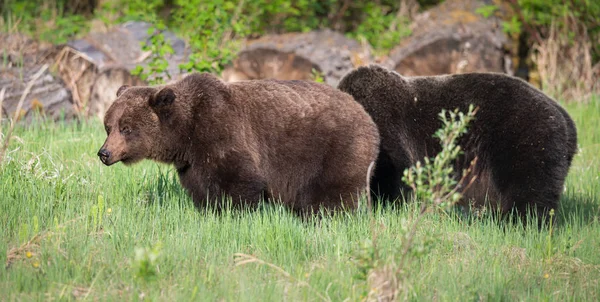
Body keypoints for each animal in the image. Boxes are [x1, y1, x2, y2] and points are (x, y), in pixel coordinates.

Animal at [98, 71, 380, 214]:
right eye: (108, 126)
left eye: (126, 128)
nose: (104, 153)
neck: (186, 134)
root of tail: (366, 115)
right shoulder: (192, 163)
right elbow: (202, 189)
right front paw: (209, 211)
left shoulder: (223, 131)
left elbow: (239, 181)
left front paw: (234, 213)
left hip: (335, 147)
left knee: (335, 192)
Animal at [338, 65, 576, 221]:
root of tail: (566, 118)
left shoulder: (391, 132)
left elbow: (395, 177)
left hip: (523, 135)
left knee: (529, 187)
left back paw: (519, 222)